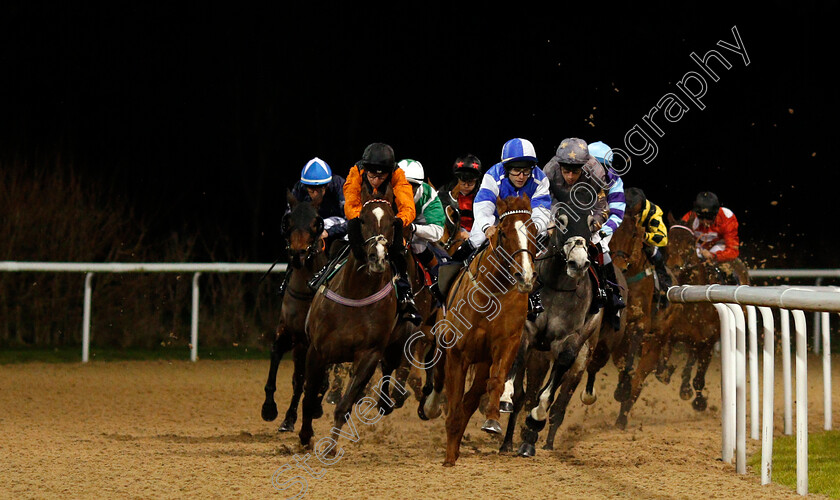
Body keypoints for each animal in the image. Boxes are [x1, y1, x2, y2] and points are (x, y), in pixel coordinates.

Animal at [260, 189, 326, 432]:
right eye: (287, 221)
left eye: (317, 222)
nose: (298, 254)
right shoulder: (288, 332)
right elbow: (276, 354)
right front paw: (270, 408)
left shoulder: (311, 342)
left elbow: (308, 380)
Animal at [298, 182, 410, 448]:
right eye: (362, 219)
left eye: (392, 221)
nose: (377, 257)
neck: (357, 294)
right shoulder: (317, 350)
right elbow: (309, 395)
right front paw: (305, 436)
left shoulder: (370, 354)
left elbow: (345, 404)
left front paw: (330, 447)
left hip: (395, 342)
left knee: (389, 368)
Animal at [418, 194, 540, 464]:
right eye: (503, 232)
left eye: (535, 232)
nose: (525, 276)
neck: (492, 293)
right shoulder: (457, 353)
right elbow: (452, 396)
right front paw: (449, 458)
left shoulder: (506, 345)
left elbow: (494, 382)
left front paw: (493, 418)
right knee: (439, 376)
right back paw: (431, 408)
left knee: (472, 398)